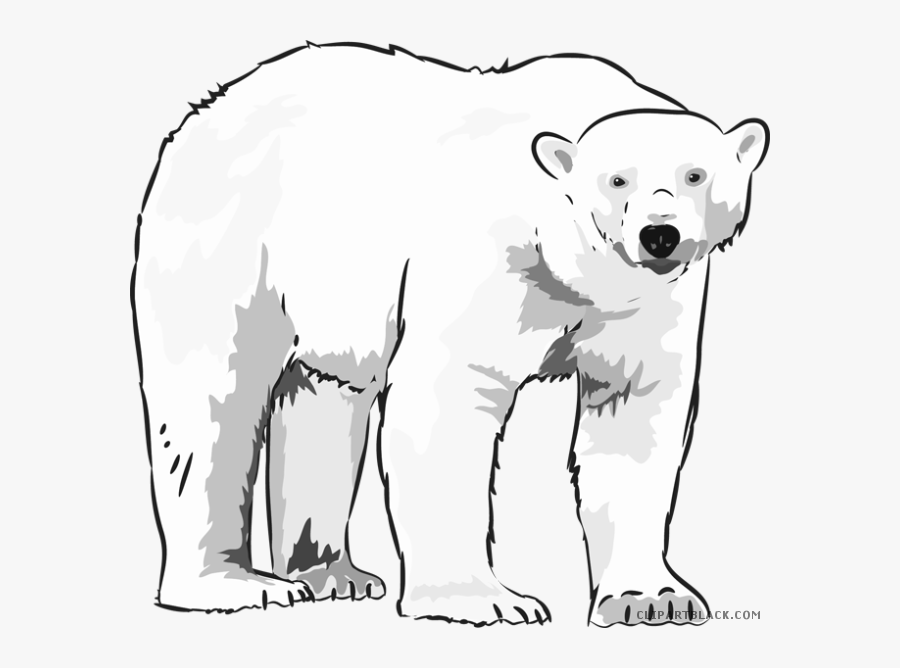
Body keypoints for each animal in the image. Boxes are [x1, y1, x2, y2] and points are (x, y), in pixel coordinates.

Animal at [131, 41, 768, 626]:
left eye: (695, 174)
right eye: (617, 180)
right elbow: (448, 398)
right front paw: (486, 601)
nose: (659, 235)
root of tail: (199, 117)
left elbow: (636, 415)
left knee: (325, 398)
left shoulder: (651, 304)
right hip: (235, 244)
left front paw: (652, 598)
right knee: (213, 401)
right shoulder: (489, 257)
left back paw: (335, 574)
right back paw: (236, 585)